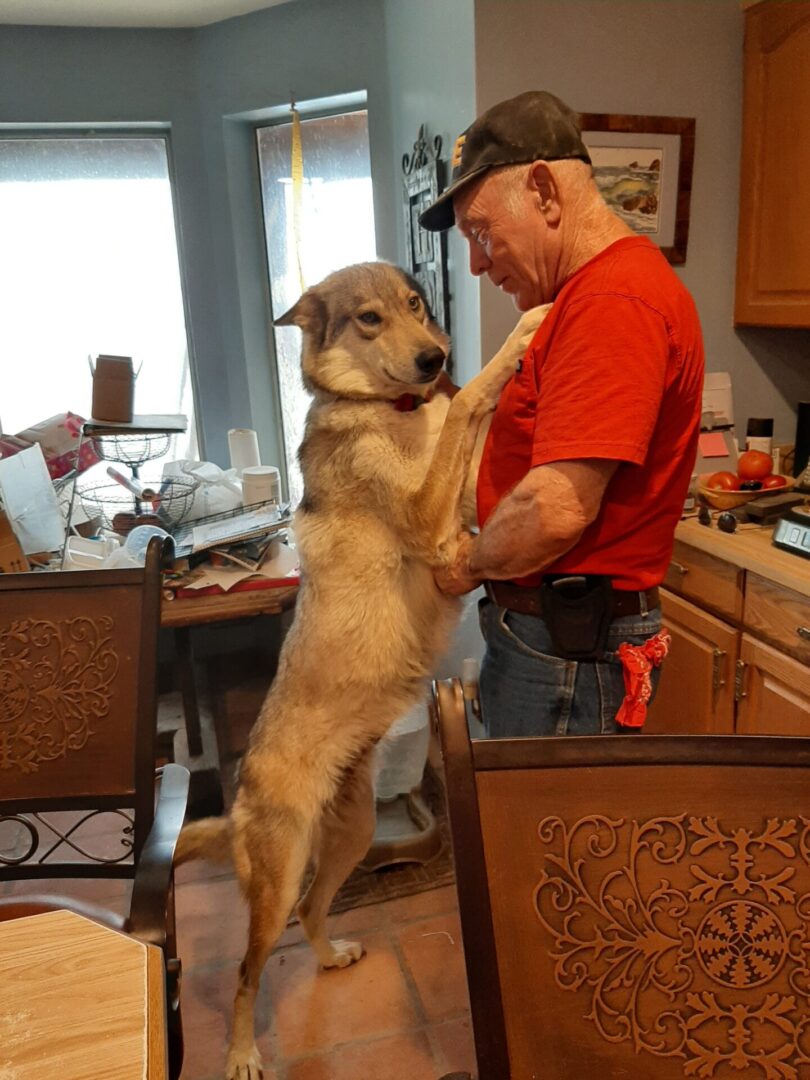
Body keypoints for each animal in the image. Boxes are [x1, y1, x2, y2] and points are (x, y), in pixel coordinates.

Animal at [174, 263, 548, 1080]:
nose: (434, 357)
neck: (391, 409)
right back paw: (244, 1053)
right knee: (248, 971)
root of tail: (242, 799)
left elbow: (471, 438)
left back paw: (332, 956)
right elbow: (468, 407)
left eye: (413, 306)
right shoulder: (428, 519)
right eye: (369, 319)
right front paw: (518, 336)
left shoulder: (458, 504)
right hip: (280, 877)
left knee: (313, 912)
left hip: (346, 843)